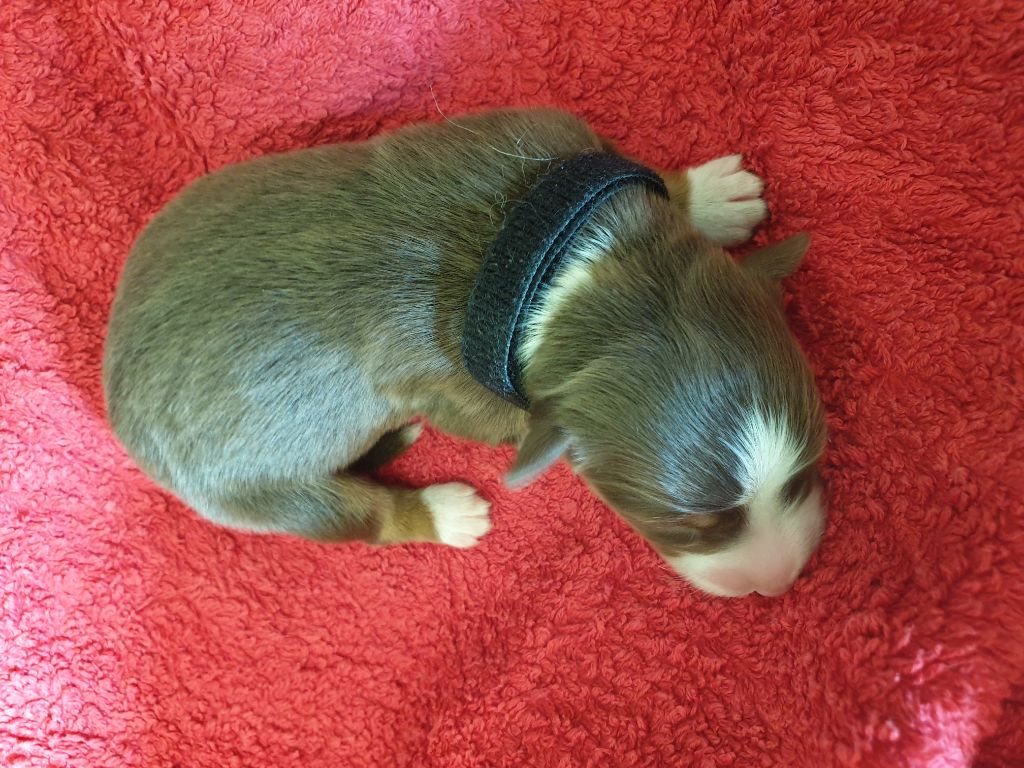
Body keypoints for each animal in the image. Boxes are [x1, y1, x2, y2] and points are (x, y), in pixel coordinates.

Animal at [103, 108, 827, 597]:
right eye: (686, 528)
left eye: (808, 468)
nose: (780, 582)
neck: (559, 270)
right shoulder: (464, 396)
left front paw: (712, 194)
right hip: (259, 493)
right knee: (356, 516)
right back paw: (445, 512)